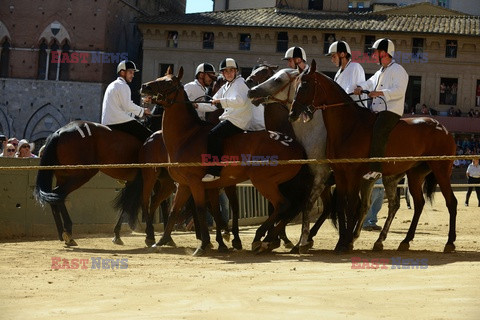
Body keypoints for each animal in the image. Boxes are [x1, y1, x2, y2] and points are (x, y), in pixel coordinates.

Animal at [141, 66, 314, 256]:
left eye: (168, 82)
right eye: (160, 78)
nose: (144, 87)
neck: (187, 136)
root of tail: (294, 144)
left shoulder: (196, 183)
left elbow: (201, 210)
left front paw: (204, 244)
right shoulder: (184, 185)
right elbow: (175, 210)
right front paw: (163, 241)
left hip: (264, 181)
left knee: (283, 205)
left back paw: (262, 238)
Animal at [248, 68, 334, 252]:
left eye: (277, 80)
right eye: (252, 72)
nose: (252, 90)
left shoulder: (305, 185)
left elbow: (292, 209)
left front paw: (270, 239)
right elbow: (278, 208)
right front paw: (275, 239)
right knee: (329, 207)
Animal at [288, 58, 458, 251]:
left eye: (305, 85)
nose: (292, 113)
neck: (349, 126)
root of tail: (443, 128)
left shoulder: (352, 174)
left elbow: (351, 206)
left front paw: (345, 242)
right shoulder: (339, 173)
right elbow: (341, 205)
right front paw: (342, 241)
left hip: (441, 171)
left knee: (451, 202)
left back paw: (450, 242)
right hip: (414, 174)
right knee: (417, 204)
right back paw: (403, 240)